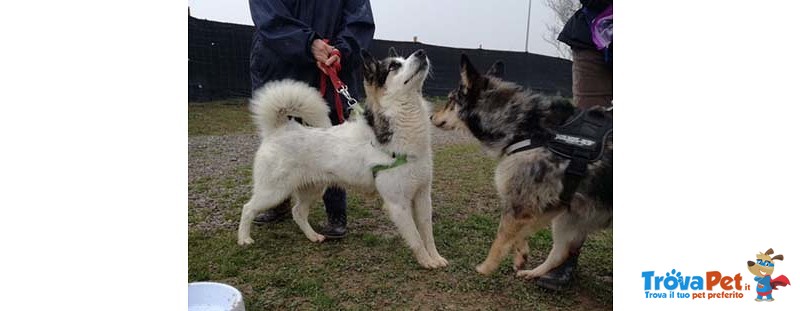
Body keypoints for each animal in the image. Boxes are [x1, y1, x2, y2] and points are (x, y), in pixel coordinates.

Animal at [238, 50, 450, 270]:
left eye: (403, 59)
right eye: (393, 66)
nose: (421, 52)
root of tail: (280, 129)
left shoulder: (423, 196)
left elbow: (427, 234)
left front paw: (435, 257)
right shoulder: (398, 204)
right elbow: (416, 238)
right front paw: (426, 261)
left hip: (313, 189)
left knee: (298, 212)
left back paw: (313, 236)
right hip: (274, 192)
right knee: (248, 209)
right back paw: (244, 238)